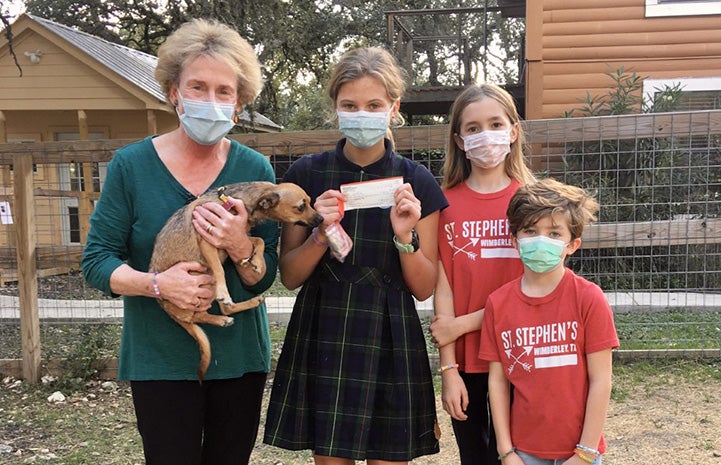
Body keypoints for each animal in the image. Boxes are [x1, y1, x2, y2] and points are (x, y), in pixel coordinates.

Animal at [149, 179, 324, 378]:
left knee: (224, 309)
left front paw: (256, 262)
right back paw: (221, 319)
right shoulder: (208, 242)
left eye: (309, 202)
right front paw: (224, 291)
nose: (321, 219)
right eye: (301, 207)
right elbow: (220, 270)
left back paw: (250, 303)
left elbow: (258, 241)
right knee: (198, 315)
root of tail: (166, 308)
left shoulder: (234, 238)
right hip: (199, 280)